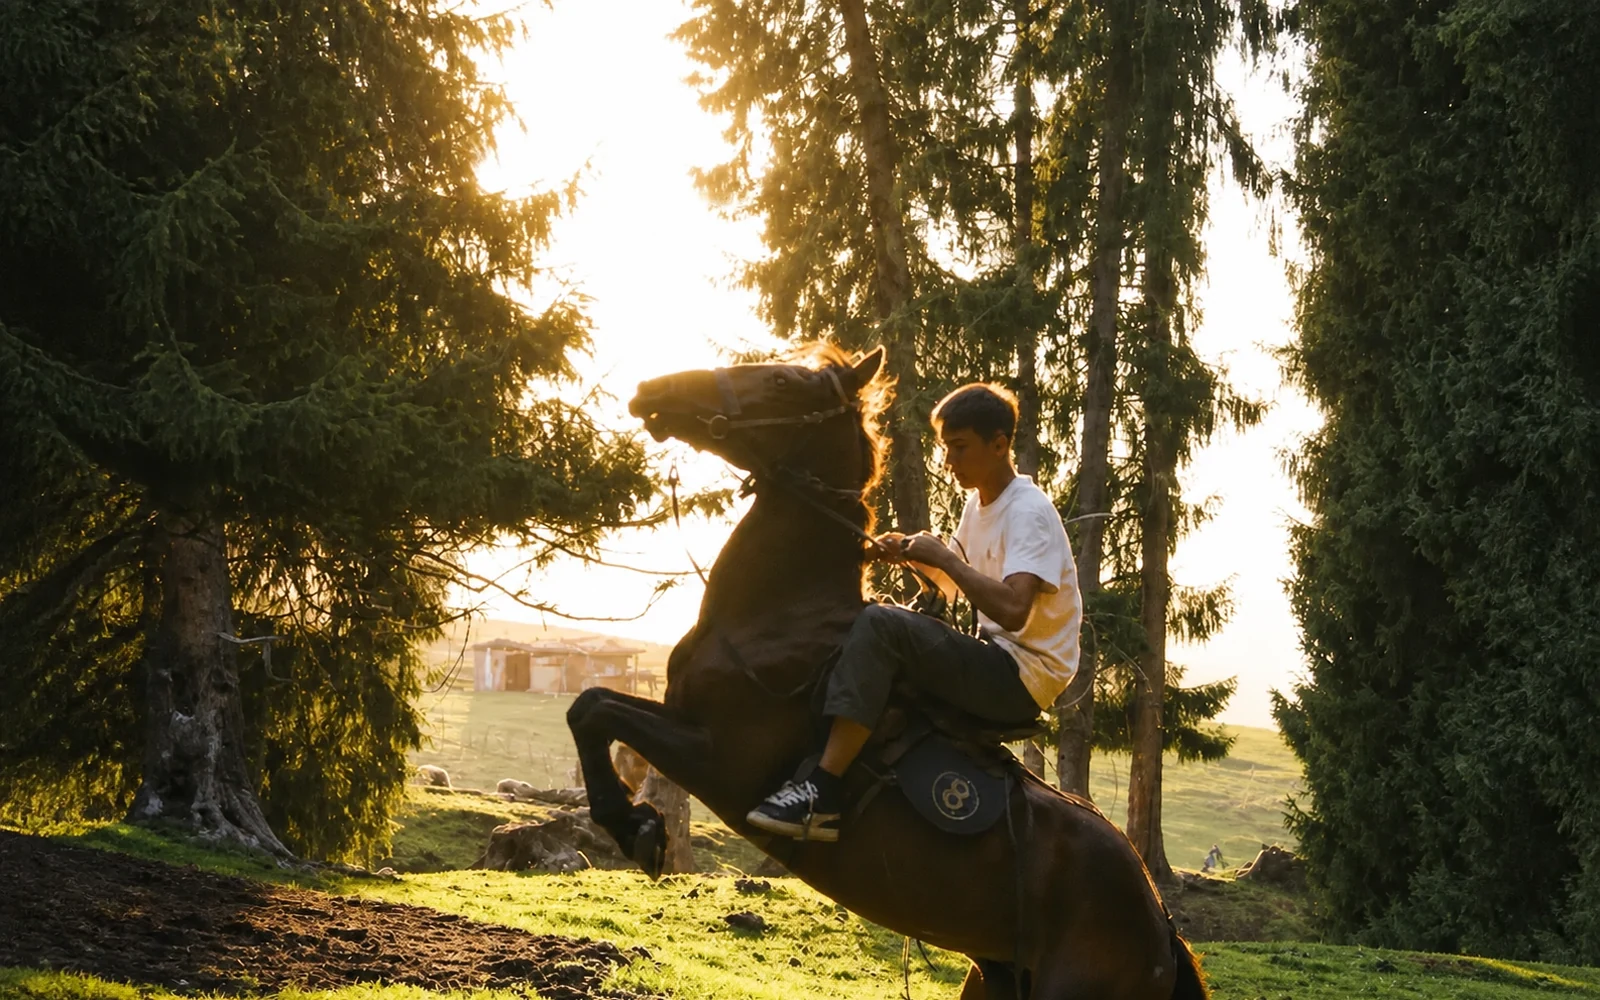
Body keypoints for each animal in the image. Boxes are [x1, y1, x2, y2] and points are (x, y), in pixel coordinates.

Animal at [566, 344, 1206, 999]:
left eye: (781, 380)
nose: (653, 391)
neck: (780, 612)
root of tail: (1161, 925)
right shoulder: (680, 716)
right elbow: (589, 706)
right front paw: (633, 822)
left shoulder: (720, 756)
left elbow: (600, 712)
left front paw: (636, 827)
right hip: (993, 978)